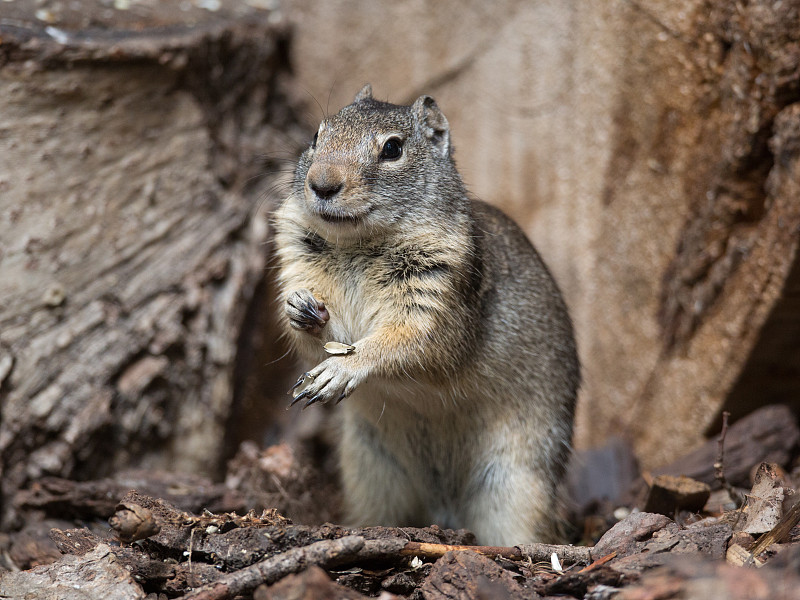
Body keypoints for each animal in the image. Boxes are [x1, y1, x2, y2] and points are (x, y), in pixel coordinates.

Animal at [272, 85, 580, 548]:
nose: (321, 183)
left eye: (393, 149)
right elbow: (316, 342)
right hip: (372, 470)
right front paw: (301, 308)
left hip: (515, 485)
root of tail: (443, 508)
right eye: (315, 135)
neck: (357, 244)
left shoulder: (439, 304)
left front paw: (342, 370)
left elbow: (407, 345)